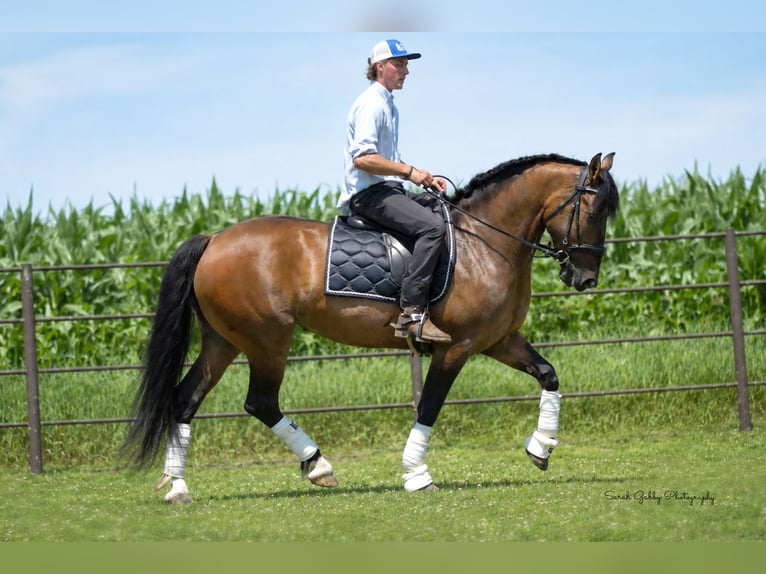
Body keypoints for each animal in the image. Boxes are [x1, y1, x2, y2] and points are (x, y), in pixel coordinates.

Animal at [122, 152, 619, 502]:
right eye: (595, 212)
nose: (585, 279)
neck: (485, 243)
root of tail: (214, 240)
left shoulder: (498, 340)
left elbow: (548, 374)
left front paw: (541, 448)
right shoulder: (456, 348)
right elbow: (429, 407)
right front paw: (417, 475)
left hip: (223, 342)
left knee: (185, 400)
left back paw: (178, 486)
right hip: (267, 340)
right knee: (259, 402)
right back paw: (318, 467)